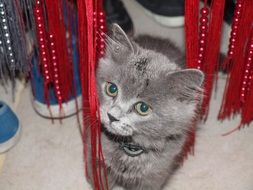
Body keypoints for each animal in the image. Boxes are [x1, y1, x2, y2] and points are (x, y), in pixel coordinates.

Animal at [89, 23, 204, 190]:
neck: (130, 147)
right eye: (112, 89)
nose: (112, 116)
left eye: (143, 108)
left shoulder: (155, 176)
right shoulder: (97, 162)